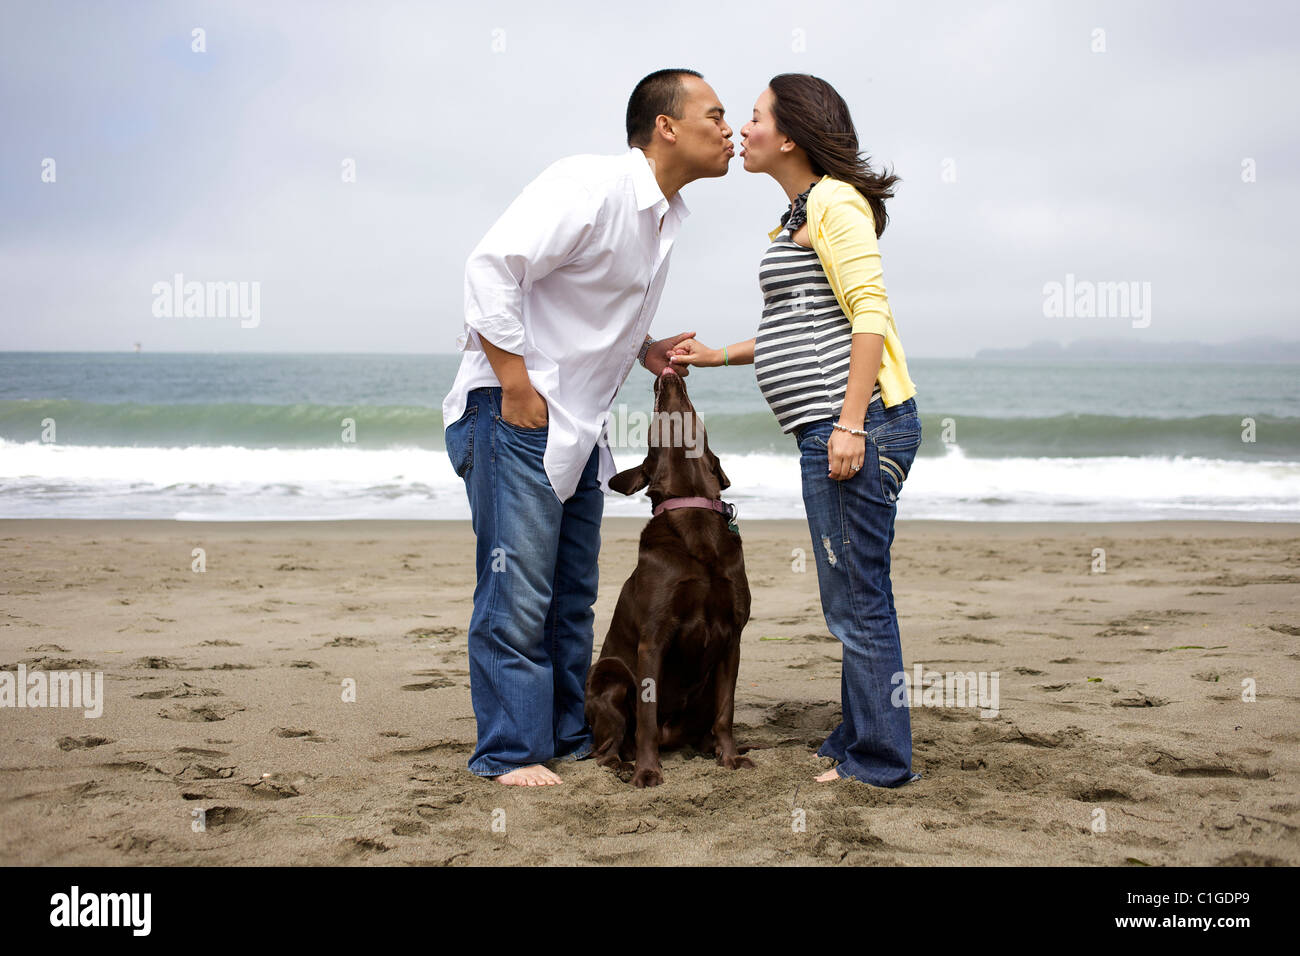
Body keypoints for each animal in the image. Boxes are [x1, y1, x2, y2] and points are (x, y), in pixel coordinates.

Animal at [587, 364, 759, 785]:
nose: (662, 376)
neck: (692, 503)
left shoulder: (733, 637)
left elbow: (726, 712)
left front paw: (731, 757)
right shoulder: (654, 639)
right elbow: (646, 717)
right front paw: (648, 771)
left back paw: (714, 747)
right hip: (610, 677)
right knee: (606, 748)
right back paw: (624, 764)